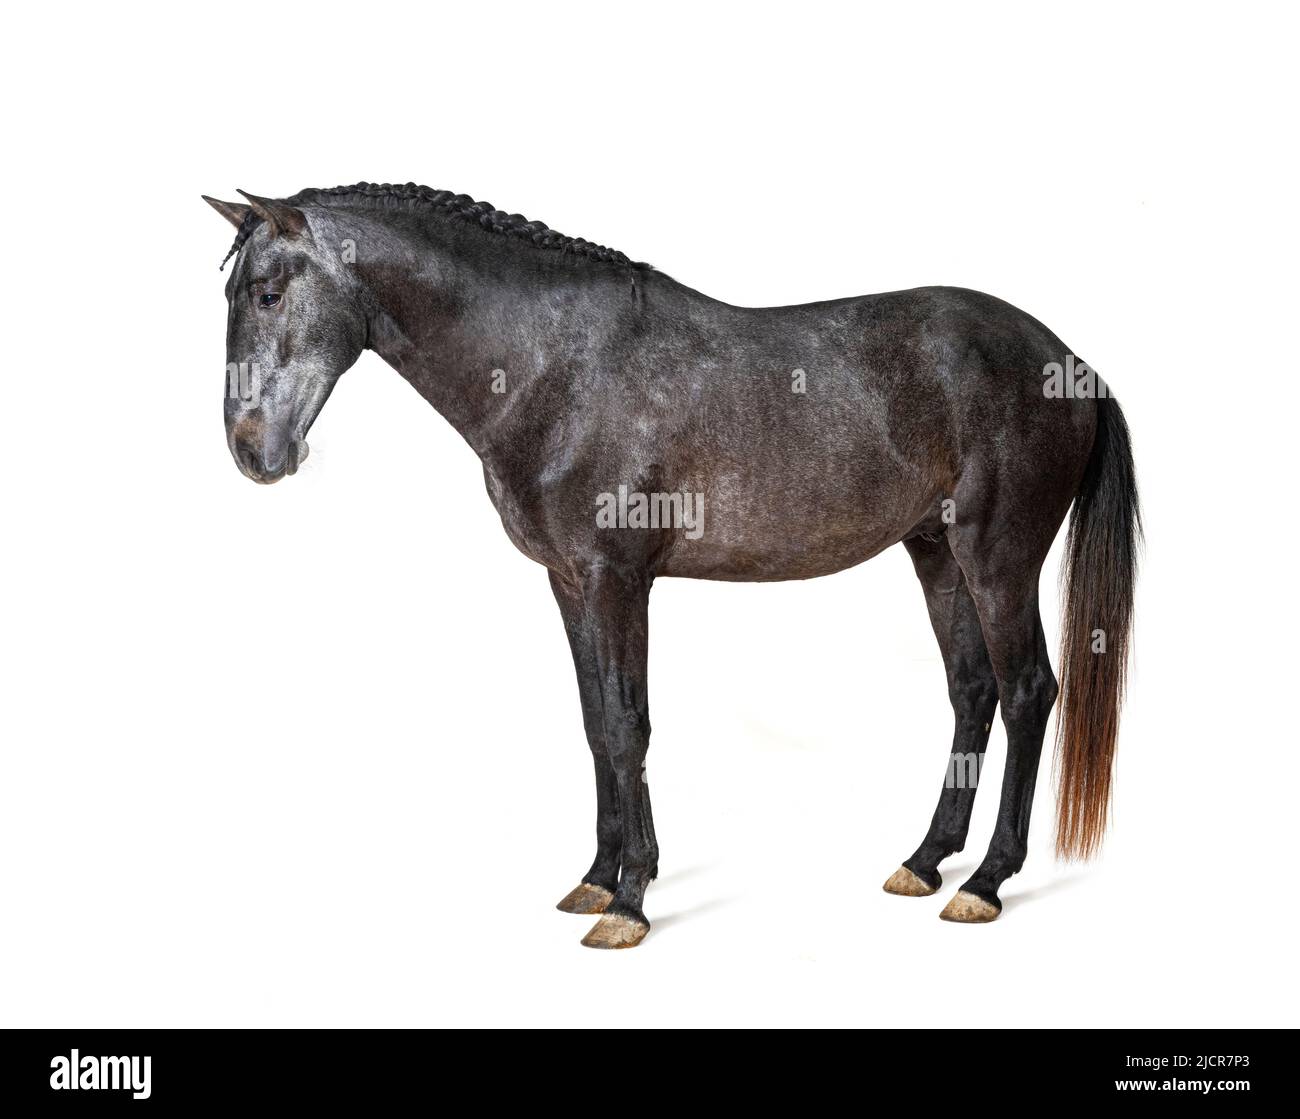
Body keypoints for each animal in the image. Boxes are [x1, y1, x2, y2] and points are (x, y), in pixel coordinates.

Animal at [204, 183, 1139, 948]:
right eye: (232, 292)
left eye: (269, 291)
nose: (252, 453)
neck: (554, 365)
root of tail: (1071, 361)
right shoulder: (569, 582)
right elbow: (595, 724)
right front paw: (596, 879)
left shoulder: (618, 579)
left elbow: (629, 725)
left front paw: (629, 902)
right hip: (937, 553)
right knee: (973, 690)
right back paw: (925, 860)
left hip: (998, 556)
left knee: (1027, 690)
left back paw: (985, 881)